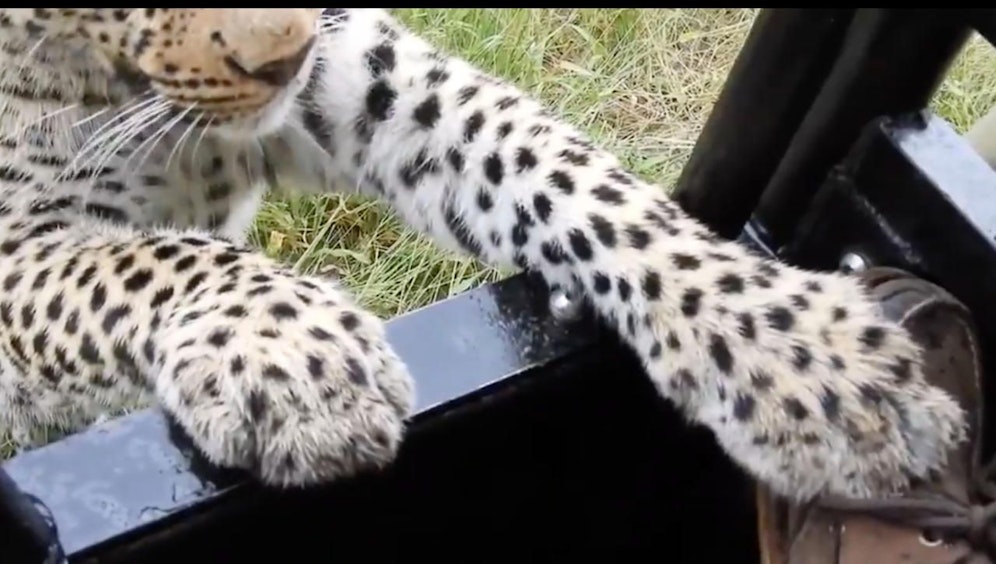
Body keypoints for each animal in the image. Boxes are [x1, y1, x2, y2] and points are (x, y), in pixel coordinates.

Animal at [0, 8, 968, 502]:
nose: (284, 55)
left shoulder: (356, 65)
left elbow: (549, 163)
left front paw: (810, 360)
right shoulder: (16, 255)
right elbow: (144, 263)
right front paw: (305, 367)